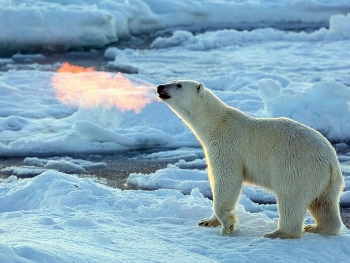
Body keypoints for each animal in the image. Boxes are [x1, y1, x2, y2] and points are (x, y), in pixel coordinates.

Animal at [157, 80, 344, 239]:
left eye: (178, 85)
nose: (160, 87)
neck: (215, 123)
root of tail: (330, 161)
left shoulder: (227, 145)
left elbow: (227, 180)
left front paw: (227, 226)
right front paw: (207, 221)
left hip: (297, 167)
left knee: (291, 198)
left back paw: (277, 233)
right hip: (328, 181)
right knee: (324, 203)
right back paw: (317, 228)